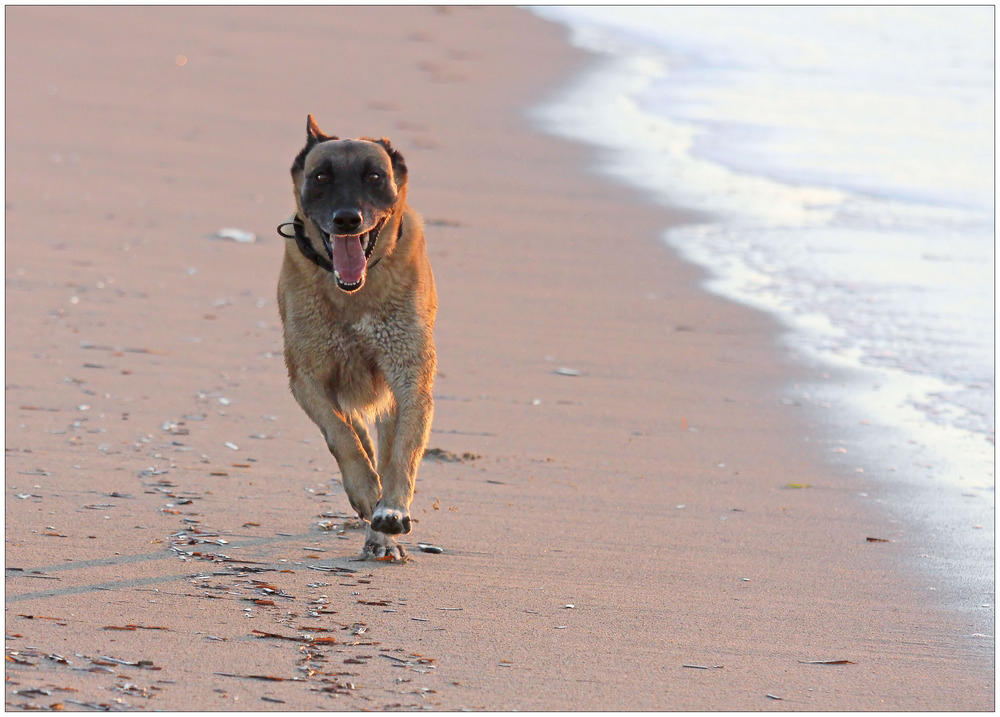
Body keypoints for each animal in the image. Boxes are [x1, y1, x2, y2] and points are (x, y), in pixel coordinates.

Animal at [280, 114, 440, 560]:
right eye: (321, 176)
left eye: (374, 176)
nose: (347, 219)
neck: (354, 292)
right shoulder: (307, 379)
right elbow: (341, 435)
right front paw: (367, 490)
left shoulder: (410, 380)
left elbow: (402, 454)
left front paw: (390, 511)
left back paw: (381, 536)